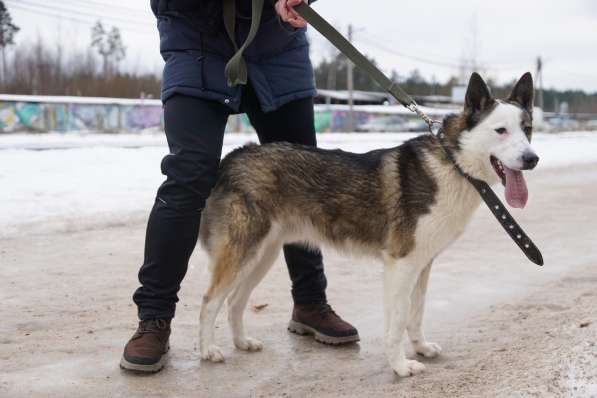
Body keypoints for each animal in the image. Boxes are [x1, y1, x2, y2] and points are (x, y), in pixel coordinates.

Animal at [197, 72, 540, 376]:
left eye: (527, 129)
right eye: (501, 130)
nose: (532, 158)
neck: (454, 163)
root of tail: (233, 157)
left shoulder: (422, 265)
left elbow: (416, 314)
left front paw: (420, 348)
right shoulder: (401, 265)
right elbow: (398, 321)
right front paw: (400, 366)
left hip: (261, 257)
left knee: (234, 302)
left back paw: (242, 342)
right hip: (243, 255)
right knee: (210, 301)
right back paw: (207, 350)